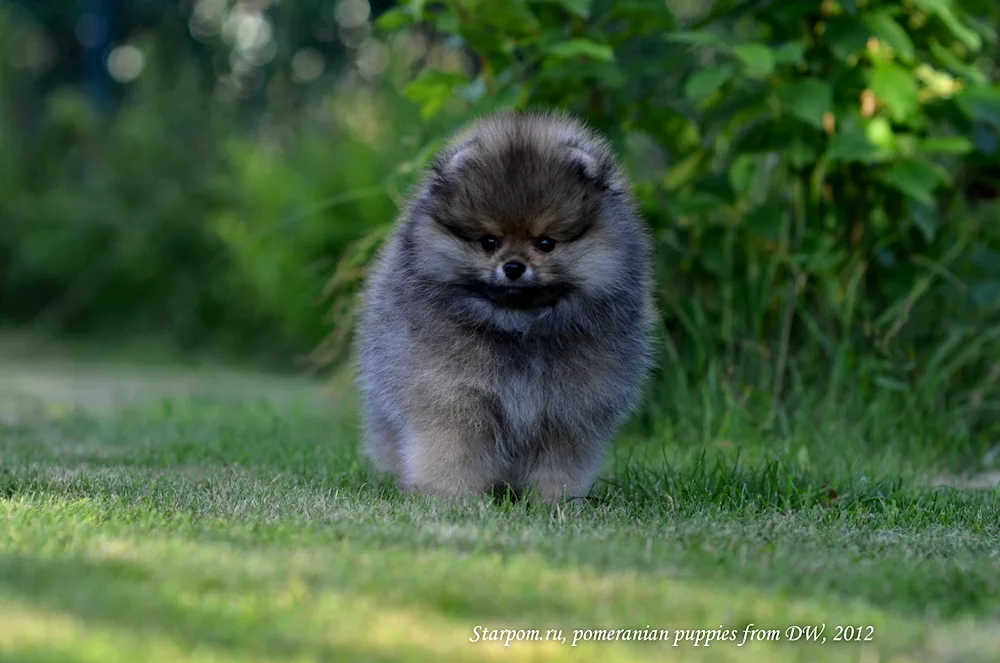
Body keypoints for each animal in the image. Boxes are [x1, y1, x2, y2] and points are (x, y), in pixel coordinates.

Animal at [354, 110, 656, 504]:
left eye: (545, 243)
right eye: (489, 242)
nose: (513, 266)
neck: (519, 327)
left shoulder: (568, 409)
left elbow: (560, 464)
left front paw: (555, 502)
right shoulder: (454, 397)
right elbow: (452, 451)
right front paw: (450, 499)